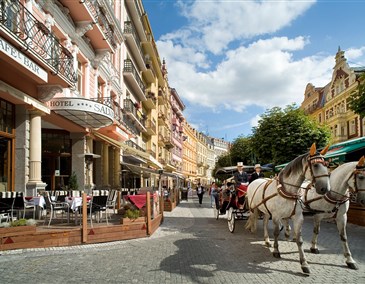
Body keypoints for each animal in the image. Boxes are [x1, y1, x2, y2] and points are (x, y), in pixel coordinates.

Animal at [245, 143, 330, 274]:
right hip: (253, 208)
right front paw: (276, 251)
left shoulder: (298, 218)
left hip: (266, 211)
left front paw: (304, 263)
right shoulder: (276, 217)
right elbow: (275, 233)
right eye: (315, 165)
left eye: (326, 164)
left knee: (264, 223)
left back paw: (266, 240)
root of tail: (256, 180)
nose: (324, 189)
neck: (287, 191)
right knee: (256, 219)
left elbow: (299, 240)